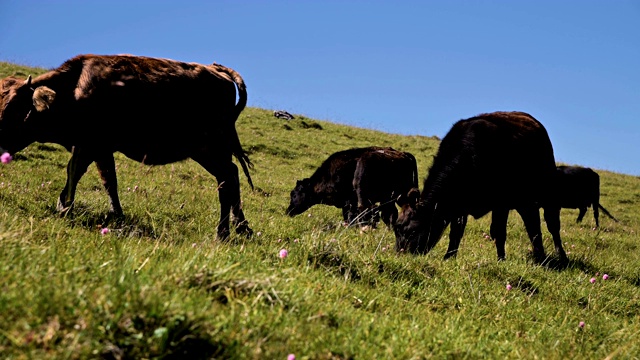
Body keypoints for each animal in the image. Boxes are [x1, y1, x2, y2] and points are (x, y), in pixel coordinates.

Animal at [0, 53, 255, 239]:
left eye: (15, 110)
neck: (74, 90)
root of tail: (216, 70)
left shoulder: (89, 145)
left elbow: (74, 172)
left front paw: (64, 206)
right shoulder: (100, 149)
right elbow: (109, 182)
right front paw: (116, 215)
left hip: (210, 149)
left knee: (227, 180)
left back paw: (223, 233)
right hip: (209, 152)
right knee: (231, 176)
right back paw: (242, 228)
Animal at [286, 145, 418, 226]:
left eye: (294, 194)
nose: (288, 211)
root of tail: (404, 154)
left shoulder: (350, 202)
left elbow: (351, 217)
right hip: (393, 198)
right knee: (392, 214)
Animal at [392, 111, 568, 262]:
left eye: (412, 230)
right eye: (397, 228)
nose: (400, 254)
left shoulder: (501, 204)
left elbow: (499, 232)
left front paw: (501, 260)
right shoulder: (459, 206)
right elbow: (456, 232)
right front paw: (449, 257)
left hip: (545, 194)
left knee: (550, 225)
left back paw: (556, 256)